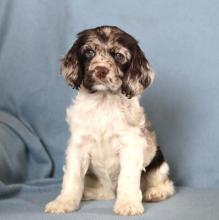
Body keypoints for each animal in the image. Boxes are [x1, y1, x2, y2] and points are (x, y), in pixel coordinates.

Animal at [45, 25, 175, 215]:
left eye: (119, 56)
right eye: (89, 52)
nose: (101, 70)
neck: (103, 102)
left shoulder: (131, 144)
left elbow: (127, 177)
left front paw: (128, 204)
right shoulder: (78, 144)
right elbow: (72, 176)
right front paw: (64, 202)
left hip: (159, 163)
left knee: (167, 184)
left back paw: (155, 192)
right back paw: (88, 193)